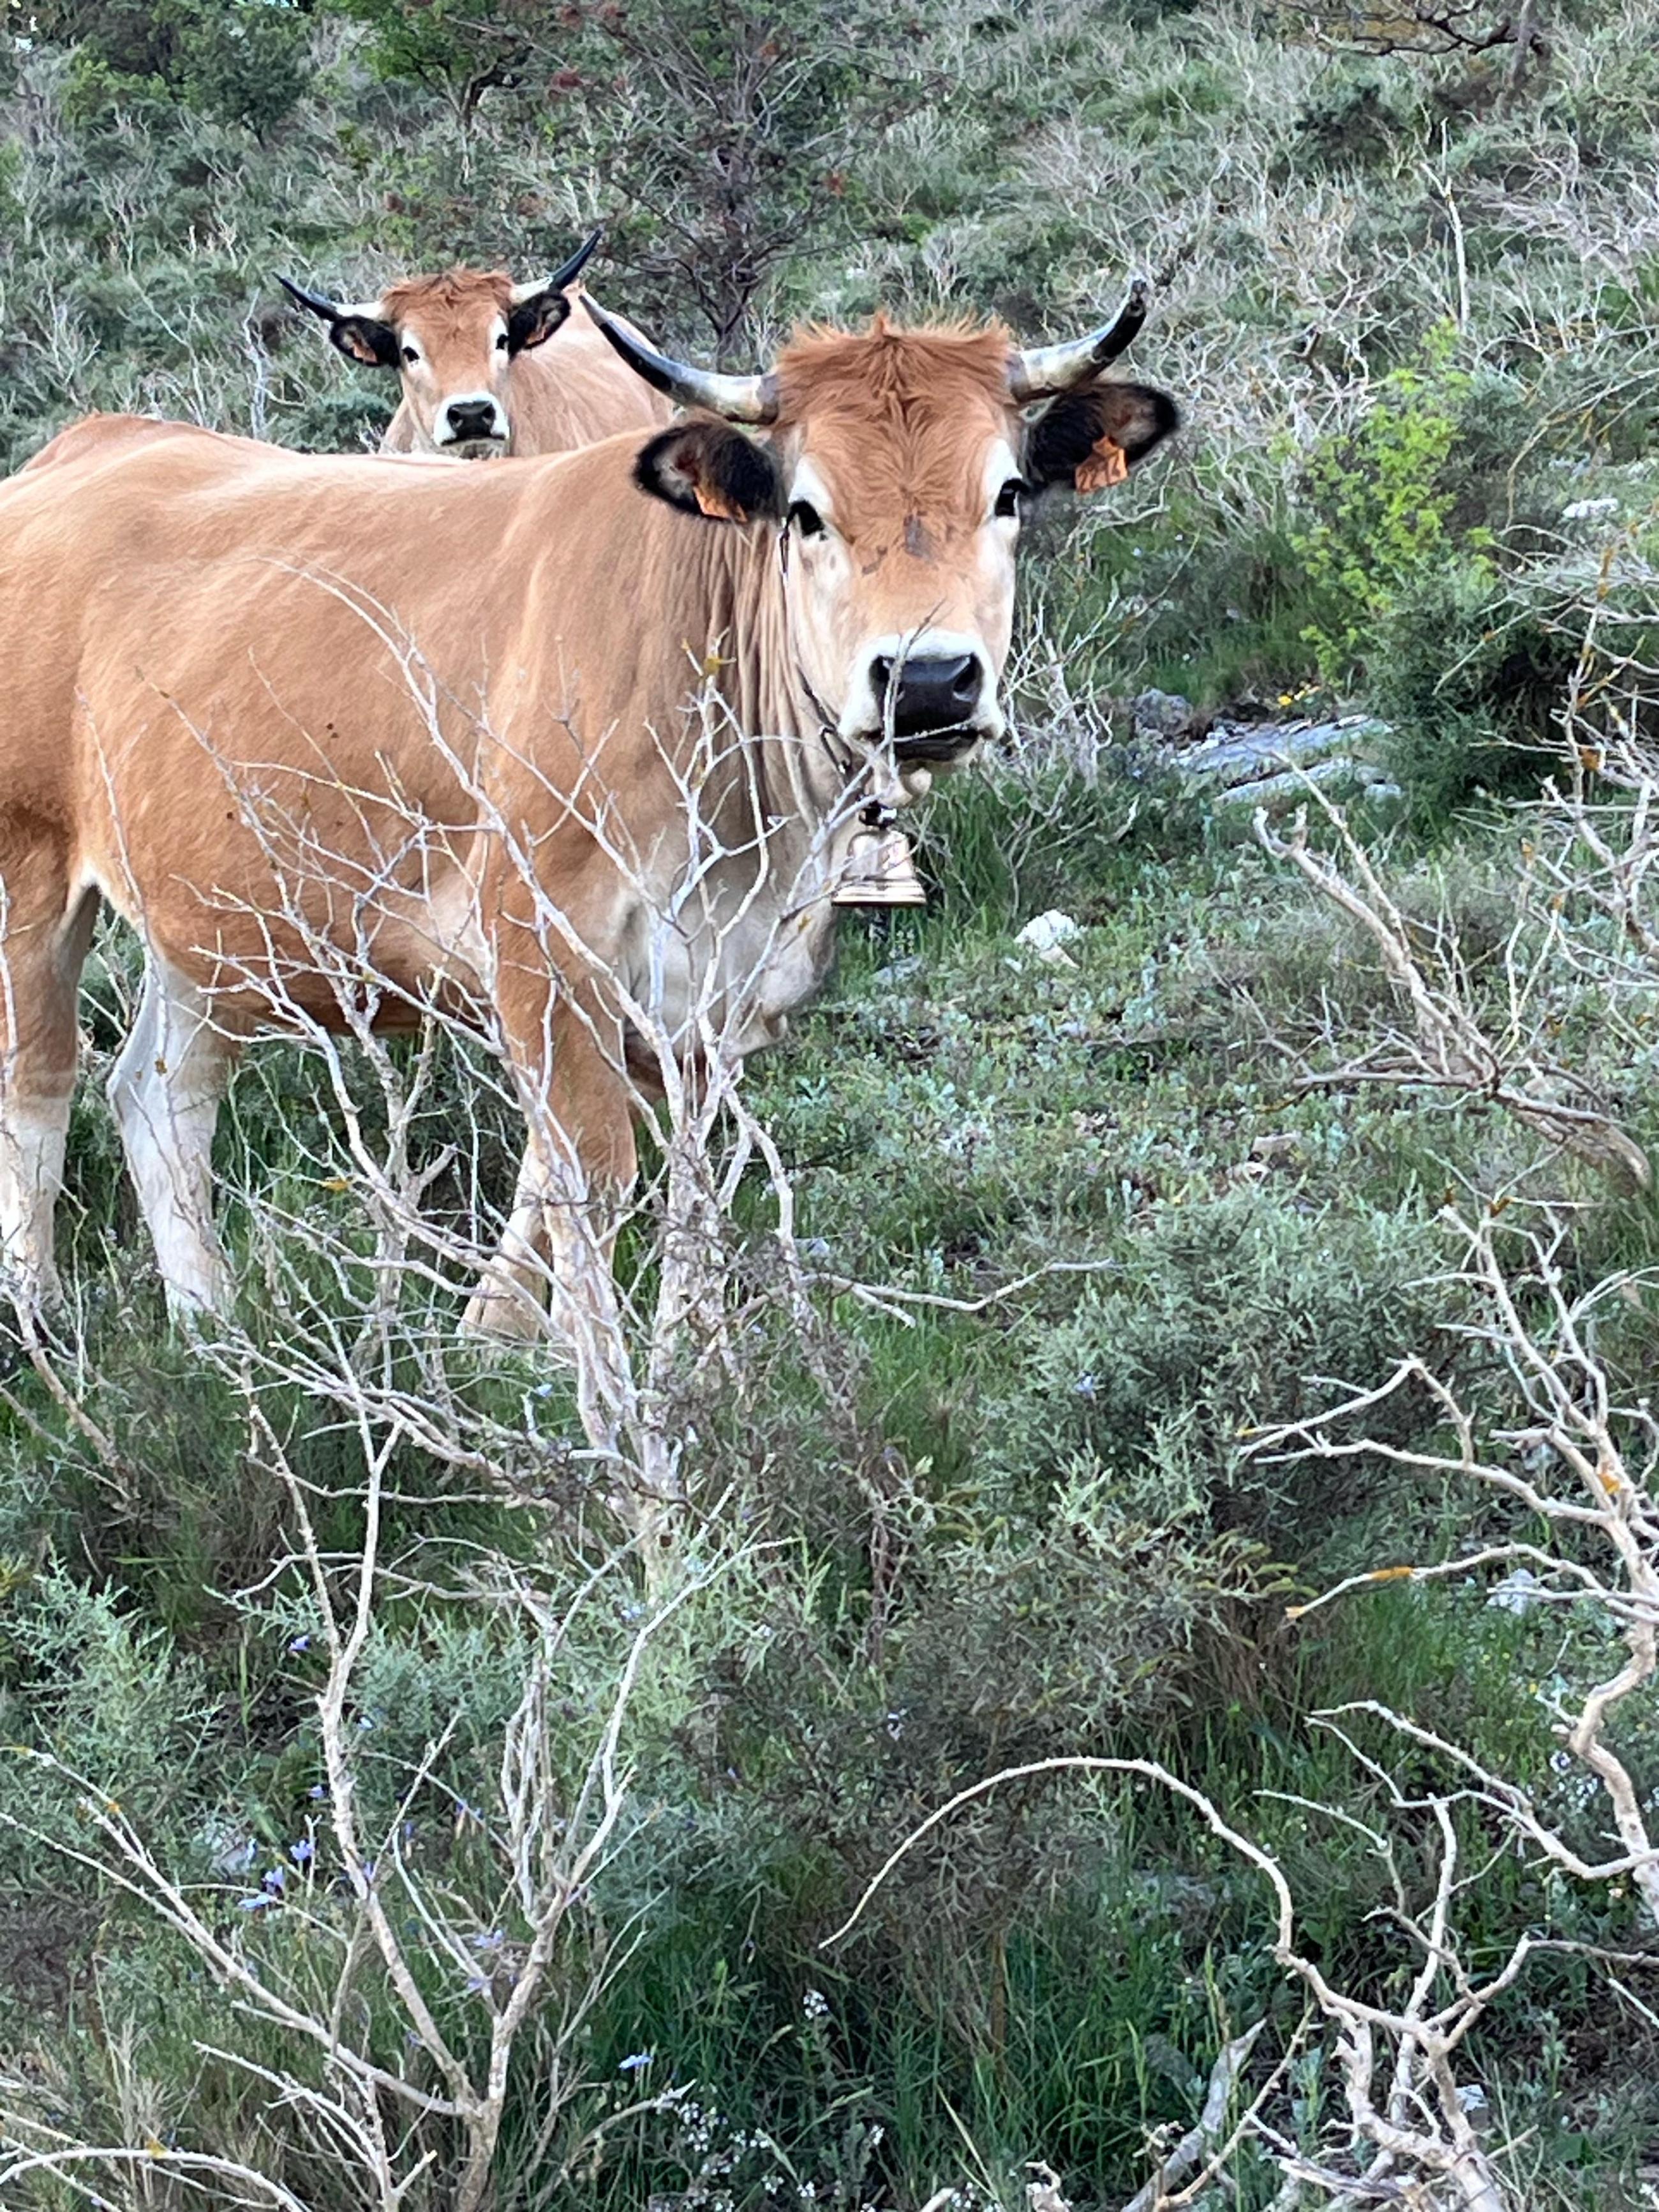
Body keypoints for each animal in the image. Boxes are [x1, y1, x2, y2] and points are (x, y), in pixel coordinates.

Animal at [0, 292, 1177, 1327]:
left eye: (1009, 495)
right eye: (805, 511)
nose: (927, 682)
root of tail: (86, 448)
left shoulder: (719, 988)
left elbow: (693, 1179)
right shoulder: (541, 946)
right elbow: (590, 1177)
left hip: (217, 925)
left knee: (159, 1098)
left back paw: (213, 1334)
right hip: (31, 873)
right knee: (39, 1086)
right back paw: (44, 1328)